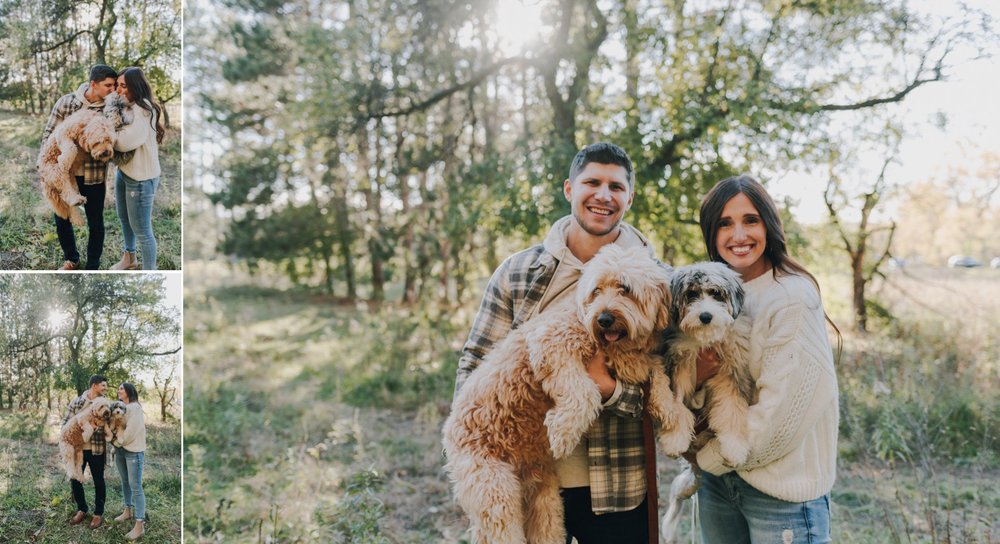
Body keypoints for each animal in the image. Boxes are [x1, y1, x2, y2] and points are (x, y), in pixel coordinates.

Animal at [656, 262, 752, 540]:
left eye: (716, 293)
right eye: (692, 294)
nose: (706, 316)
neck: (704, 340)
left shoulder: (731, 371)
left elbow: (732, 411)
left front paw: (734, 448)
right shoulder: (681, 364)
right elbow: (677, 405)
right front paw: (674, 437)